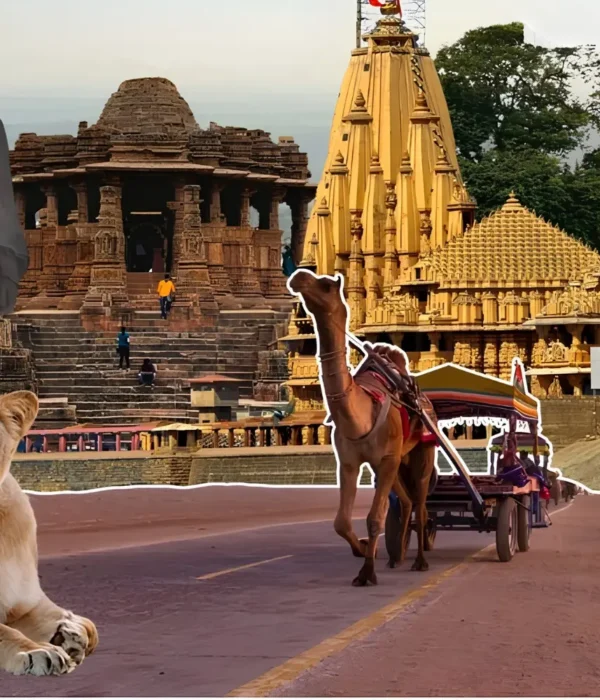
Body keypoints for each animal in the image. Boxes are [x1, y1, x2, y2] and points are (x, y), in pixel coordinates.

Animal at [288, 269, 436, 586]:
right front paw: (364, 550)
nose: (298, 277)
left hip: (422, 450)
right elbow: (341, 522)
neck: (362, 413)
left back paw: (420, 561)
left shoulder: (386, 458)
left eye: (326, 285)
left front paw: (367, 572)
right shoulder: (349, 461)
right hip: (397, 461)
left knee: (419, 503)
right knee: (406, 502)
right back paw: (396, 556)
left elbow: (373, 518)